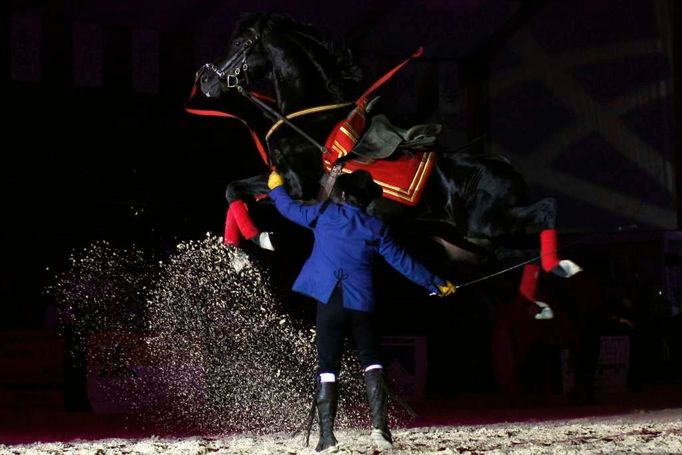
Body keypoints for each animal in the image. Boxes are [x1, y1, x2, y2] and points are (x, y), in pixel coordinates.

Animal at [191, 12, 572, 280]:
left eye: (241, 43)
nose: (207, 79)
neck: (310, 119)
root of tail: (506, 165)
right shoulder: (277, 179)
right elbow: (233, 189)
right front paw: (244, 251)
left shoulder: (302, 191)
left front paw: (259, 240)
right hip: (478, 241)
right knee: (515, 248)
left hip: (485, 224)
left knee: (548, 208)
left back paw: (562, 265)